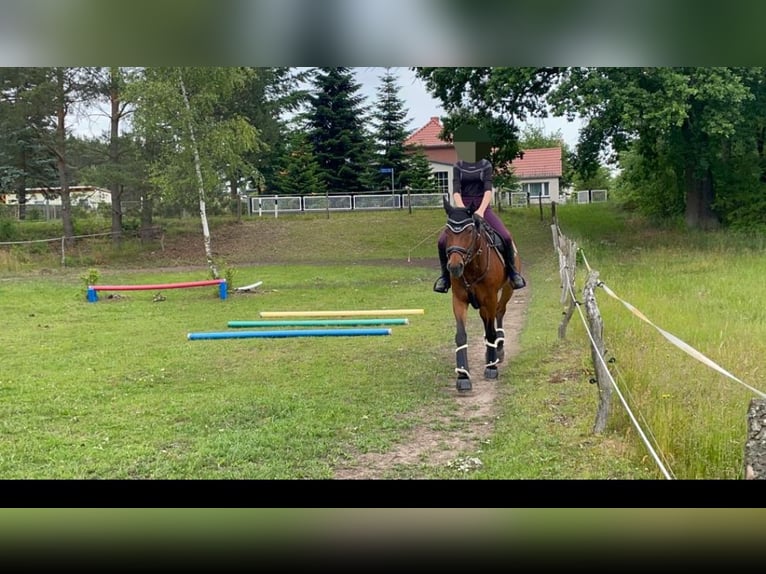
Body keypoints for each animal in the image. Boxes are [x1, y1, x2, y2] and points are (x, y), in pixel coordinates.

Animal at [444, 196, 516, 394]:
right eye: (447, 231)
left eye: (469, 231)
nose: (454, 267)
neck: (471, 267)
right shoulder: (459, 300)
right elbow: (461, 335)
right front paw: (462, 375)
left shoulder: (490, 299)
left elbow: (491, 332)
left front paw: (491, 367)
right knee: (487, 320)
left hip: (506, 291)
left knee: (499, 313)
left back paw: (498, 349)